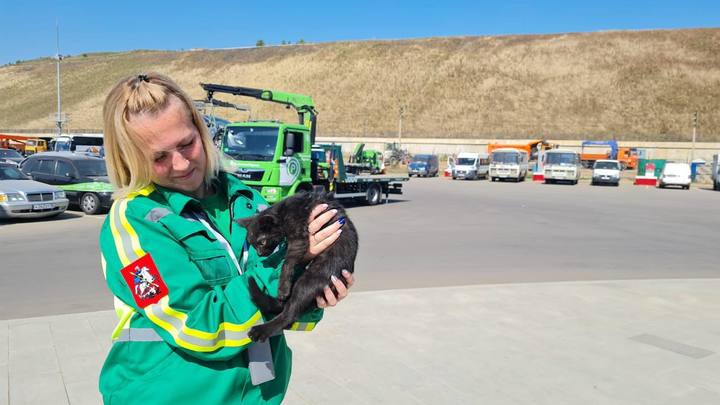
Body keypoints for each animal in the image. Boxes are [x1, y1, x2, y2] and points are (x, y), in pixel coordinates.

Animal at [238, 190, 358, 340]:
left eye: (262, 242)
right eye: (253, 244)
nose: (260, 254)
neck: (282, 213)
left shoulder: (298, 238)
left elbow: (287, 262)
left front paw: (282, 289)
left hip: (308, 281)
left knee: (289, 314)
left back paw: (261, 330)